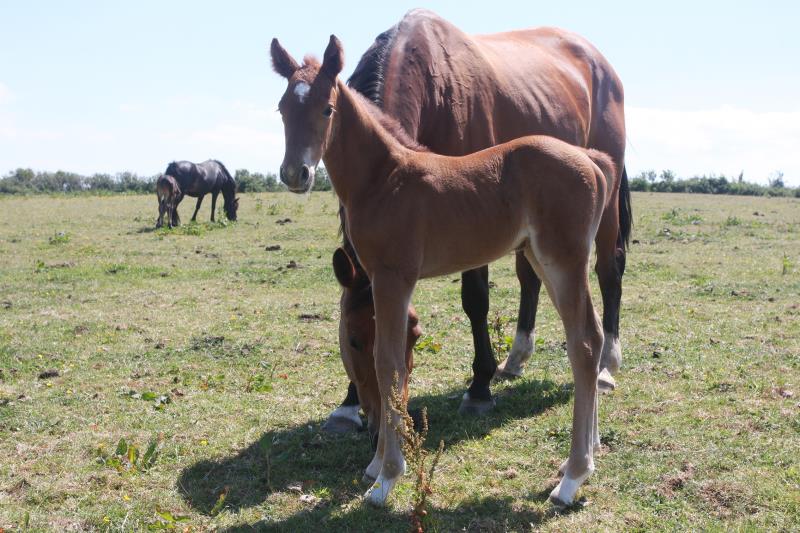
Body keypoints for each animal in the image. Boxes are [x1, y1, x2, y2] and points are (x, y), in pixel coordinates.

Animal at [272, 36, 616, 502]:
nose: (296, 173)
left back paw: (571, 478)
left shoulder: (393, 276)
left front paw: (386, 477)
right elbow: (391, 366)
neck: (385, 179)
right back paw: (585, 457)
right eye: (282, 108)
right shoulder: (383, 281)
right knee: (591, 336)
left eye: (326, 109)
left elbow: (388, 365)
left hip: (564, 259)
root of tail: (591, 159)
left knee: (582, 344)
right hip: (544, 259)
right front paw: (376, 464)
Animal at [320, 8, 632, 432]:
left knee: (608, 270)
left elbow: (476, 299)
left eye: (413, 337)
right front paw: (347, 403)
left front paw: (479, 387)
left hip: (602, 201)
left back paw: (605, 366)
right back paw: (516, 357)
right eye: (352, 337)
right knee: (531, 278)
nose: (378, 416)